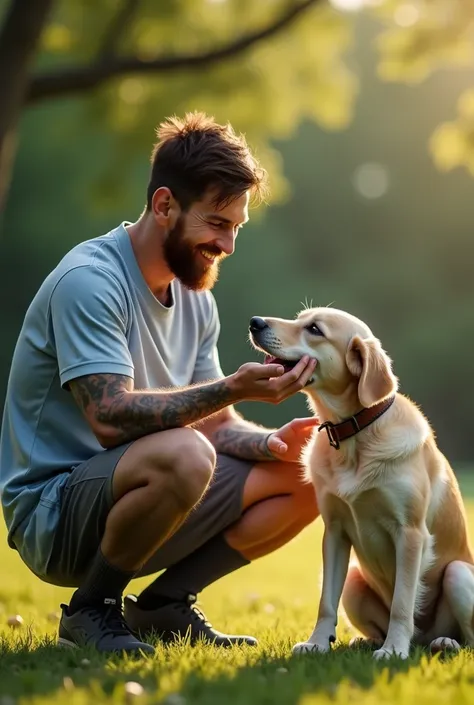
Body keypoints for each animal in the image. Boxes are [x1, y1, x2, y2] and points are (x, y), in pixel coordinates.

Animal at [248, 306, 474, 656]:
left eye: (314, 329)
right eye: (300, 318)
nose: (255, 323)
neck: (354, 433)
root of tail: (423, 640)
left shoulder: (410, 533)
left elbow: (402, 603)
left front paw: (394, 651)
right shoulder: (335, 531)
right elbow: (326, 602)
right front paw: (317, 643)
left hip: (459, 574)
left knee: (467, 638)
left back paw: (443, 642)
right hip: (355, 580)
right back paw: (366, 640)